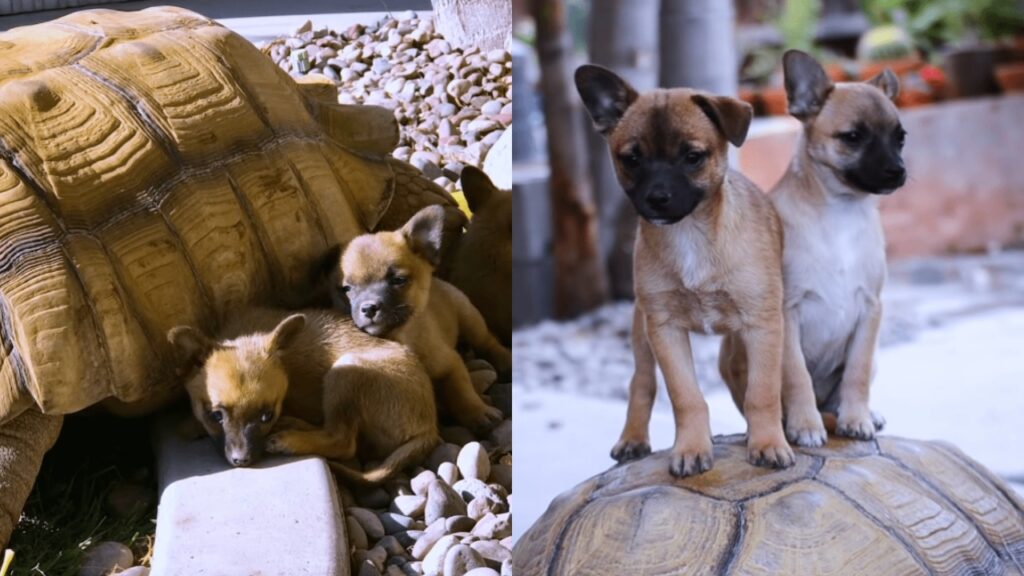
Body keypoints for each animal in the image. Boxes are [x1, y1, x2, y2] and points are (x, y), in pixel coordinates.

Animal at [168, 305, 440, 479]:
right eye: (215, 416)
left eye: (267, 415)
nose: (242, 460)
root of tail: (430, 428)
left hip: (345, 371)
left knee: (342, 441)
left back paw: (289, 440)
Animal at [335, 204, 512, 430]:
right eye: (346, 289)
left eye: (398, 280)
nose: (368, 308)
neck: (402, 336)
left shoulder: (451, 364)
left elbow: (462, 392)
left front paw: (478, 412)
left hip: (470, 319)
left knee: (487, 341)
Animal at [577, 63, 790, 475]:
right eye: (631, 159)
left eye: (693, 157)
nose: (657, 198)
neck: (690, 233)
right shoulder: (665, 330)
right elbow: (685, 396)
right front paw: (691, 448)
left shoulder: (762, 326)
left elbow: (762, 392)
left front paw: (768, 443)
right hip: (641, 333)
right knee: (641, 383)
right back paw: (632, 438)